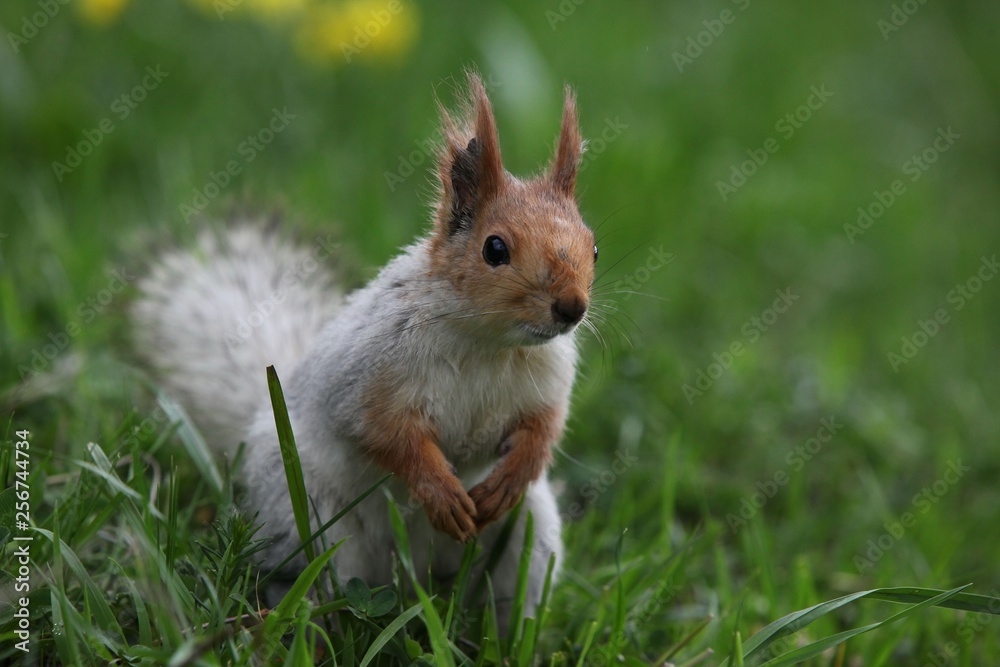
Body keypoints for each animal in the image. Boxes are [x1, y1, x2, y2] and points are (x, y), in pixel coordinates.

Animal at [132, 73, 596, 621]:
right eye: (495, 249)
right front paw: (440, 491)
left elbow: (543, 430)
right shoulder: (369, 374)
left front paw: (511, 476)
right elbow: (383, 432)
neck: (489, 342)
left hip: (528, 537)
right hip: (308, 516)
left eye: (593, 246)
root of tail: (415, 575)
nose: (572, 308)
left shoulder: (549, 383)